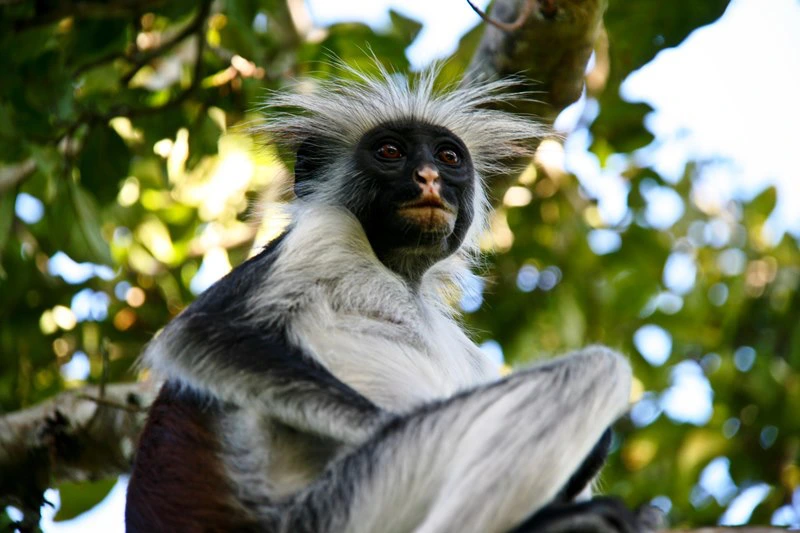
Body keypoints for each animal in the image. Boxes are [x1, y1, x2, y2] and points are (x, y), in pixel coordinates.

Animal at [125, 64, 648, 533]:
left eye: (449, 157)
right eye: (390, 151)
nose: (428, 176)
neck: (399, 273)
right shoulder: (327, 230)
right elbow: (200, 333)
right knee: (593, 369)